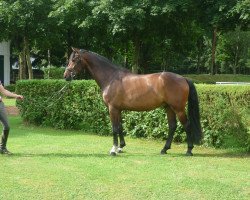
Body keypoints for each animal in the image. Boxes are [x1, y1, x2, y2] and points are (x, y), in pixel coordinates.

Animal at [63, 48, 202, 156]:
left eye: (74, 60)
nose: (66, 76)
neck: (111, 78)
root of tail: (183, 78)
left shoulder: (112, 108)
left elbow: (114, 128)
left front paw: (113, 150)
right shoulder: (118, 109)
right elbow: (120, 127)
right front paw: (120, 147)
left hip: (178, 108)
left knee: (187, 125)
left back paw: (189, 150)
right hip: (168, 107)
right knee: (172, 126)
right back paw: (164, 149)